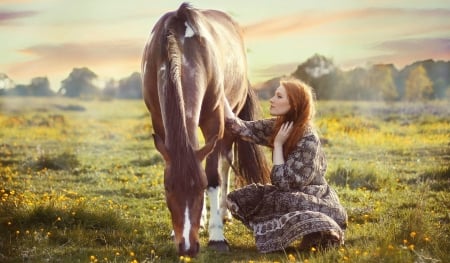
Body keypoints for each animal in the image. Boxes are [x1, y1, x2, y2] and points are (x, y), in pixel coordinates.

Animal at [142, 2, 268, 258]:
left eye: (199, 187)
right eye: (167, 187)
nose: (187, 248)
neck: (180, 47)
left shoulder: (214, 122)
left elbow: (213, 177)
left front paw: (217, 236)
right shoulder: (159, 122)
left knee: (225, 162)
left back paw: (224, 213)